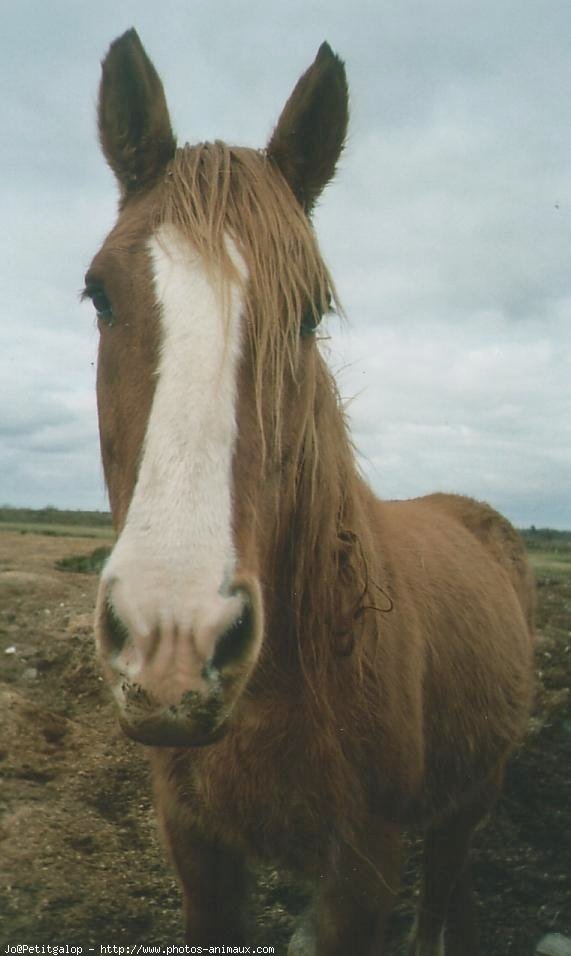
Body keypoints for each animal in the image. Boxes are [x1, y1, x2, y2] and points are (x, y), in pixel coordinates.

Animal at [85, 29, 536, 956]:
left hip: (469, 798)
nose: (173, 639)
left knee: (442, 888)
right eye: (99, 293)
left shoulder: (363, 863)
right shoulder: (198, 850)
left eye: (311, 312)